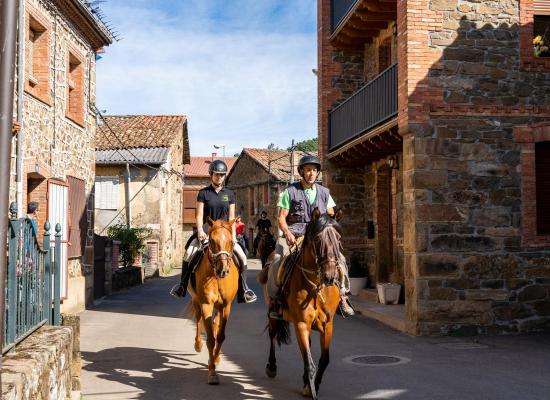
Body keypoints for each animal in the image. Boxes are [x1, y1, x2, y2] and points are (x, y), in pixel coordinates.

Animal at [189, 217, 238, 386]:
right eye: (211, 241)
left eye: (231, 241)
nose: (222, 270)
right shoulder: (206, 305)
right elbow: (210, 338)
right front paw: (212, 373)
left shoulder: (226, 307)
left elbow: (220, 336)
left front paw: (215, 360)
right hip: (197, 300)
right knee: (198, 319)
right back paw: (197, 344)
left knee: (215, 324)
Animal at [260, 208, 344, 398]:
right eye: (318, 239)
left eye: (338, 239)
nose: (330, 276)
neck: (316, 286)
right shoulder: (301, 324)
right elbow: (309, 363)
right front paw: (310, 389)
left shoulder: (327, 325)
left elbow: (323, 360)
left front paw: (312, 385)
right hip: (274, 315)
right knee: (272, 336)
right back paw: (271, 367)